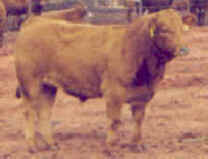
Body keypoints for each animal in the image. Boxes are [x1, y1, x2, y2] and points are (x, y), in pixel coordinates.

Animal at [15, 9, 188, 153]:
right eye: (165, 29)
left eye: (182, 29)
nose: (181, 50)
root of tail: (36, 21)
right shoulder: (113, 92)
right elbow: (114, 121)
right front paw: (111, 148)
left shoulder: (143, 95)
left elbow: (138, 120)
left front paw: (137, 145)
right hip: (29, 83)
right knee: (28, 112)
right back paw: (32, 146)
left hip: (48, 86)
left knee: (44, 112)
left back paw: (51, 144)